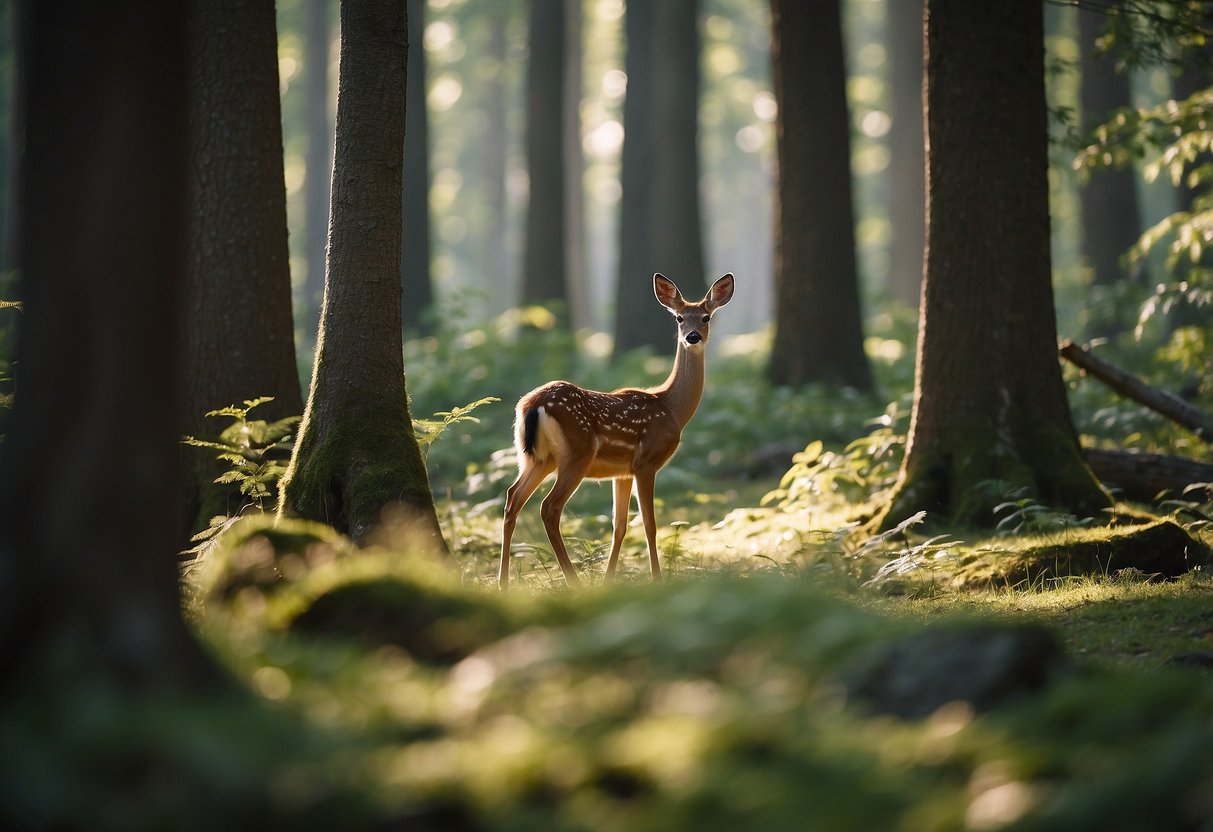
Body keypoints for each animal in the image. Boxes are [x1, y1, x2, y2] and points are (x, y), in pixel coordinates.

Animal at [497, 271, 732, 587]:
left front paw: (609, 580)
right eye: (680, 318)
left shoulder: (622, 472)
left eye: (706, 317)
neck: (671, 407)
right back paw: (573, 581)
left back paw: (503, 582)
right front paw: (657, 578)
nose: (692, 336)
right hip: (577, 453)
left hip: (536, 457)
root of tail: (532, 405)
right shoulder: (646, 462)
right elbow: (649, 524)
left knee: (513, 498)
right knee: (549, 508)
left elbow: (619, 525)